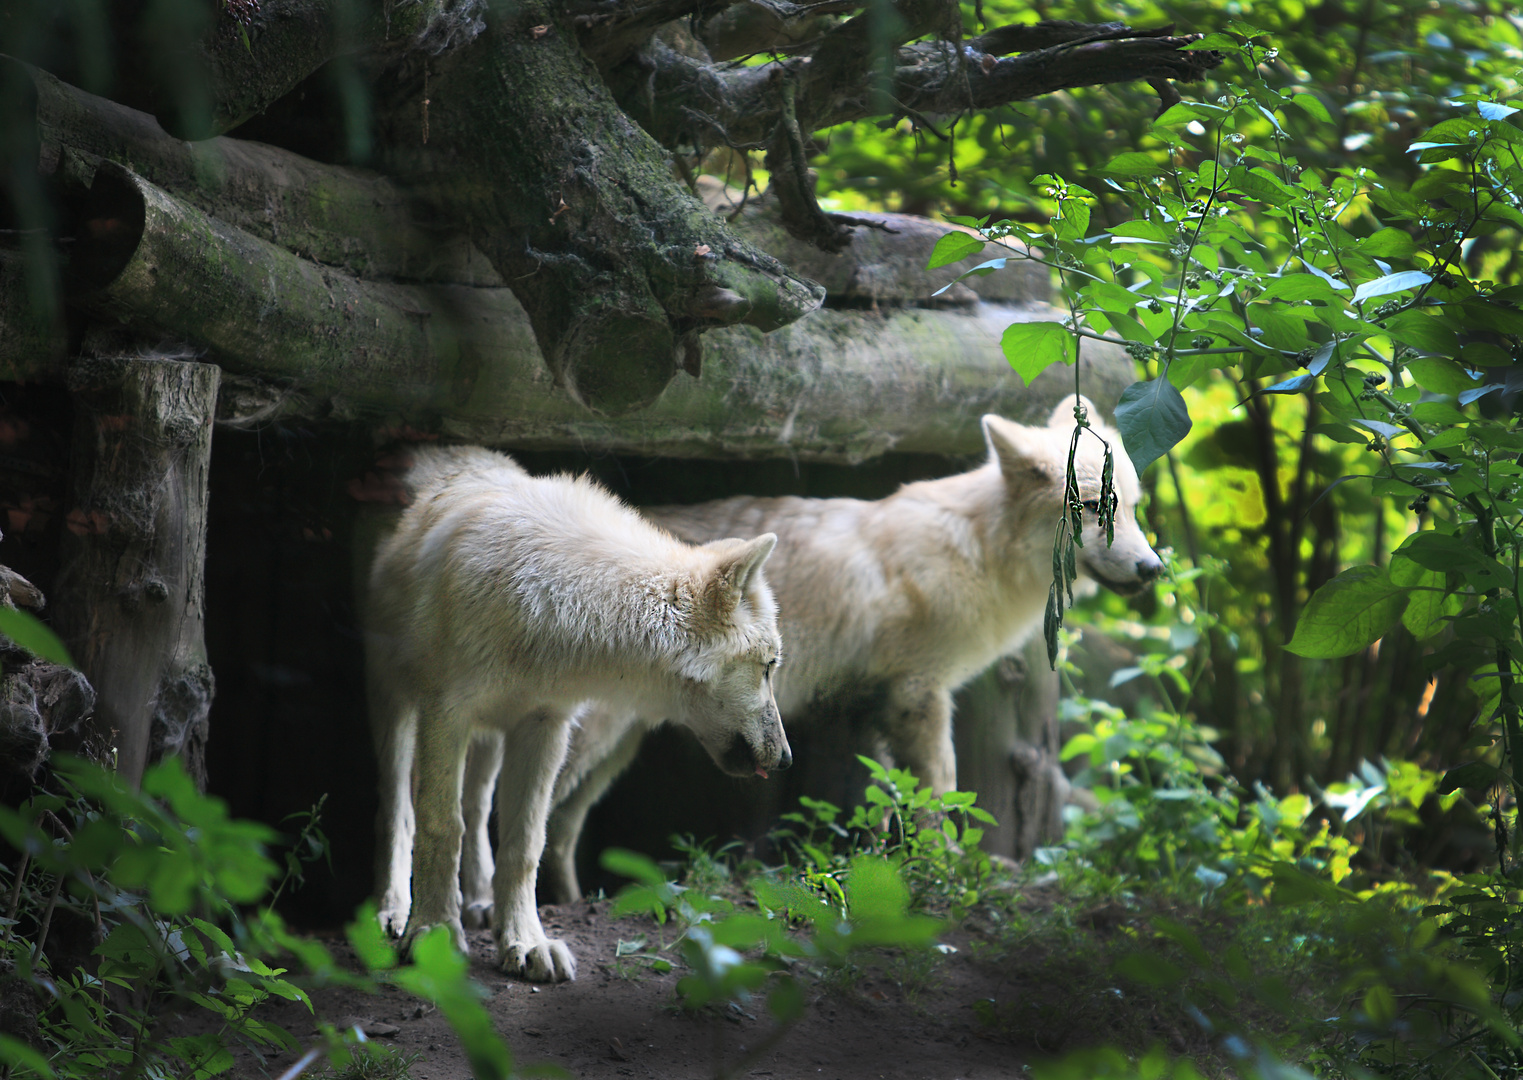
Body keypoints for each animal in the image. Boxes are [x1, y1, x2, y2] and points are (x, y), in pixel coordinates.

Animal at [357, 441, 785, 980]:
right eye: (769, 667)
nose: (787, 759)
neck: (544, 604)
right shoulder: (445, 716)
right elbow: (440, 826)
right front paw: (433, 933)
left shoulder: (545, 726)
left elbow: (523, 844)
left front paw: (524, 940)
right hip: (394, 705)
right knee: (397, 808)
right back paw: (392, 911)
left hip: (491, 734)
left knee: (477, 808)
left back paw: (479, 902)